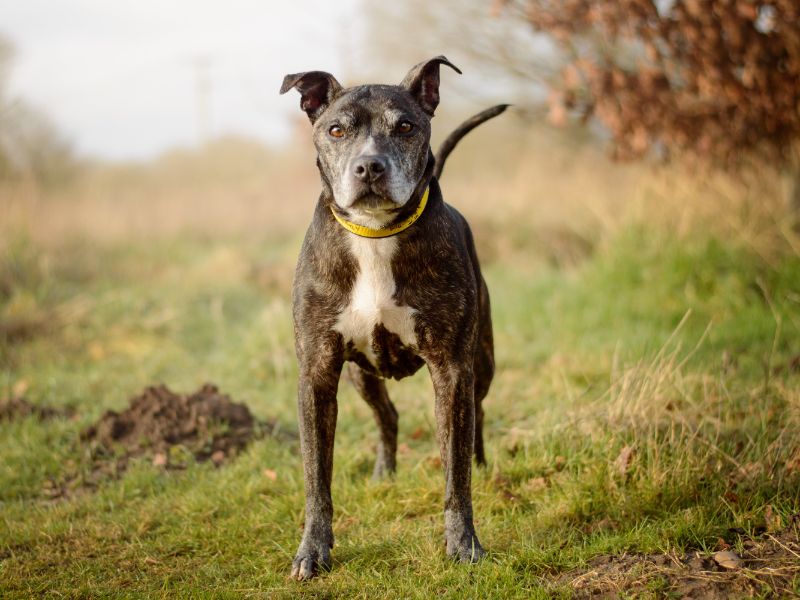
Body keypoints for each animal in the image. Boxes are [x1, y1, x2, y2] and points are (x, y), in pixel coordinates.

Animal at [282, 57, 506, 580]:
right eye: (336, 130)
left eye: (405, 127)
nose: (369, 166)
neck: (375, 234)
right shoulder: (318, 373)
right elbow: (316, 479)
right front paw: (312, 551)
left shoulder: (452, 369)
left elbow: (455, 475)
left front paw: (463, 544)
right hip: (360, 374)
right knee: (387, 415)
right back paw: (385, 471)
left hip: (481, 362)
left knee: (479, 412)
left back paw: (483, 463)